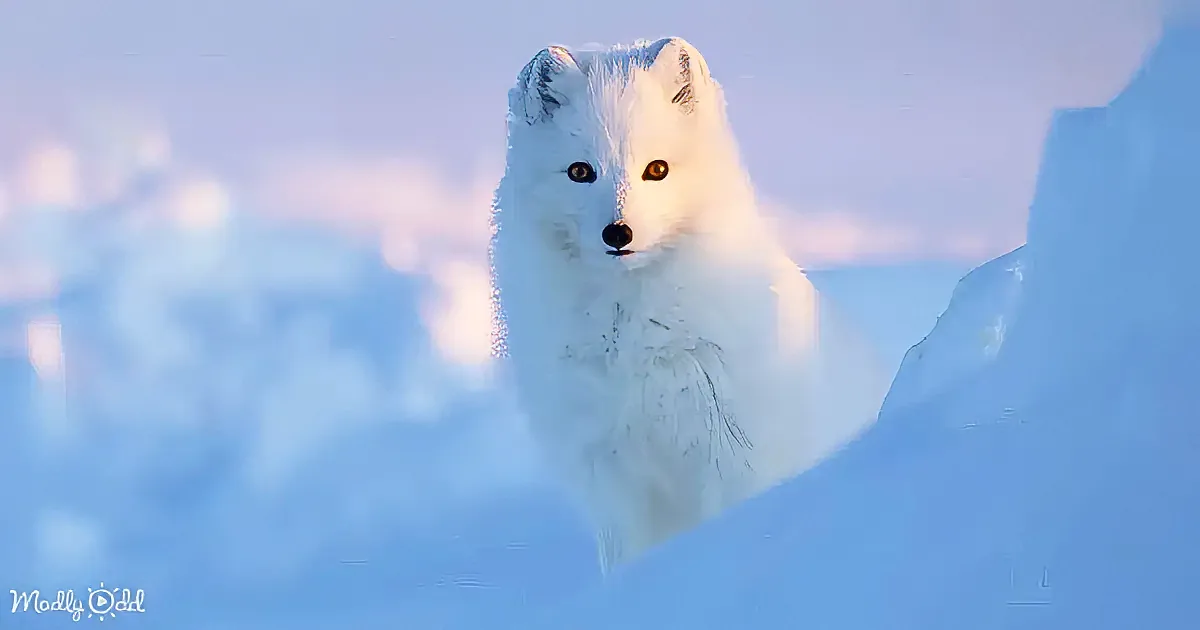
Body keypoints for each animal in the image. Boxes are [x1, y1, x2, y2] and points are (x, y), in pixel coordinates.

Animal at [490, 37, 888, 572]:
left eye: (656, 169)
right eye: (579, 171)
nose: (618, 233)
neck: (634, 338)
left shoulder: (738, 455)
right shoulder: (608, 475)